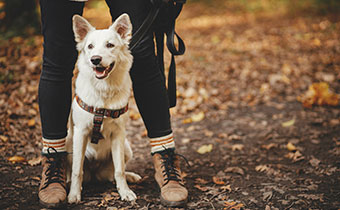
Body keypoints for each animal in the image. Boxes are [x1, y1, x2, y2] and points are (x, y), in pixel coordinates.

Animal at [66, 13, 141, 203]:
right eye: (90, 46)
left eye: (110, 45)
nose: (95, 59)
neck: (103, 90)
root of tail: (94, 173)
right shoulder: (80, 133)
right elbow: (77, 170)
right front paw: (74, 194)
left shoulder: (119, 134)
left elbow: (119, 170)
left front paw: (125, 191)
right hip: (67, 143)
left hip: (127, 148)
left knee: (112, 174)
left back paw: (130, 176)